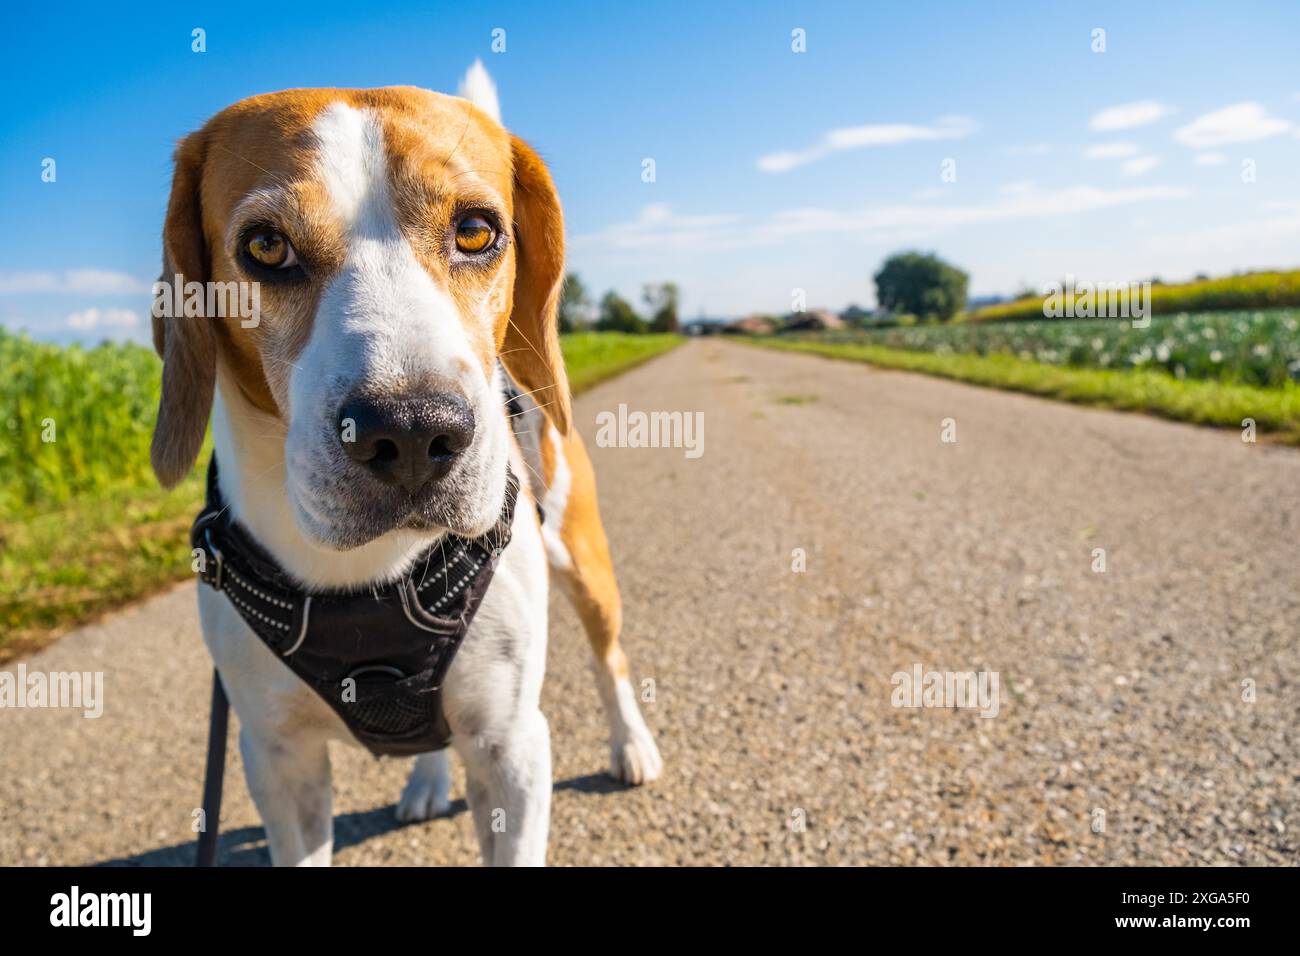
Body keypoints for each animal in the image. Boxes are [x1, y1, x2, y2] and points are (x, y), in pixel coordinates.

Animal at [150, 63, 660, 863]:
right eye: (265, 246)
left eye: (477, 230)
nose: (415, 432)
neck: (367, 575)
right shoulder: (278, 762)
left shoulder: (513, 747)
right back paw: (426, 782)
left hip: (587, 564)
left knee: (611, 661)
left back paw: (632, 746)